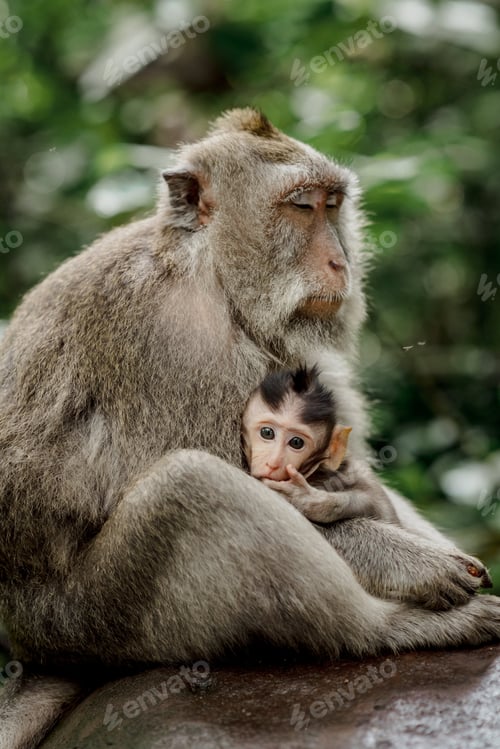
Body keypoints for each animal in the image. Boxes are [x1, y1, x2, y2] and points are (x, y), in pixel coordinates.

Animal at [241, 365, 398, 524]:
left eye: (296, 442)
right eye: (267, 433)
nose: (273, 463)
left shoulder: (352, 472)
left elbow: (379, 505)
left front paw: (304, 498)